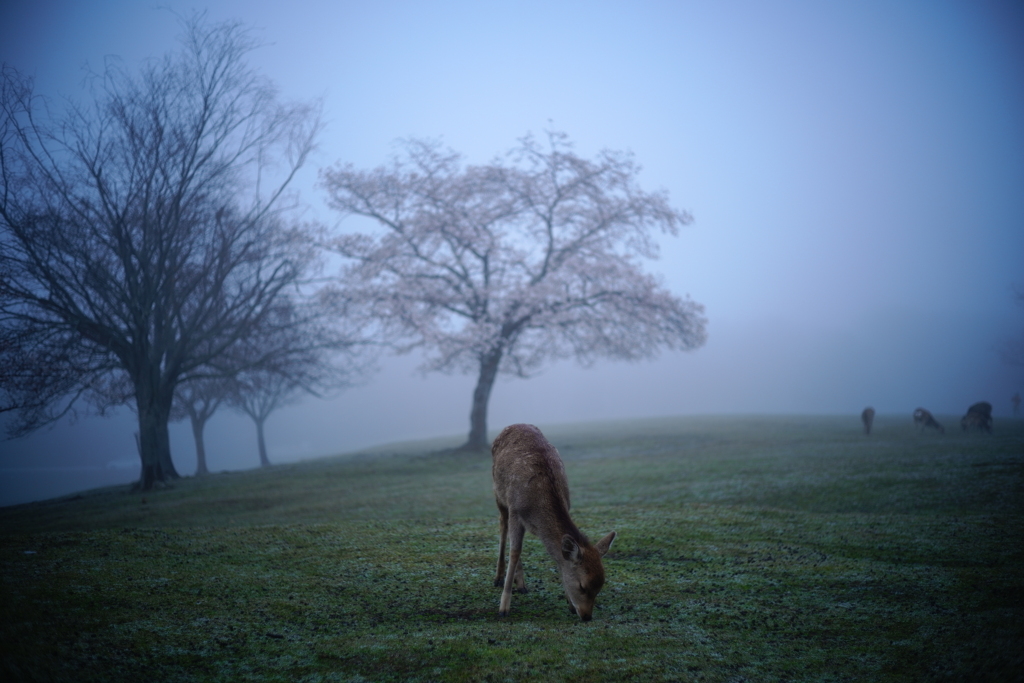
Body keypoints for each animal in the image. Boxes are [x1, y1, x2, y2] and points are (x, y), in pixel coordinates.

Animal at [489, 423, 614, 622]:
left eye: (600, 587)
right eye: (583, 586)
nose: (587, 616)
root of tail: (514, 425)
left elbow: (558, 557)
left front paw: (569, 603)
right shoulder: (515, 509)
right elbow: (515, 551)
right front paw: (503, 608)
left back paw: (520, 583)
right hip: (498, 493)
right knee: (503, 525)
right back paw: (499, 577)